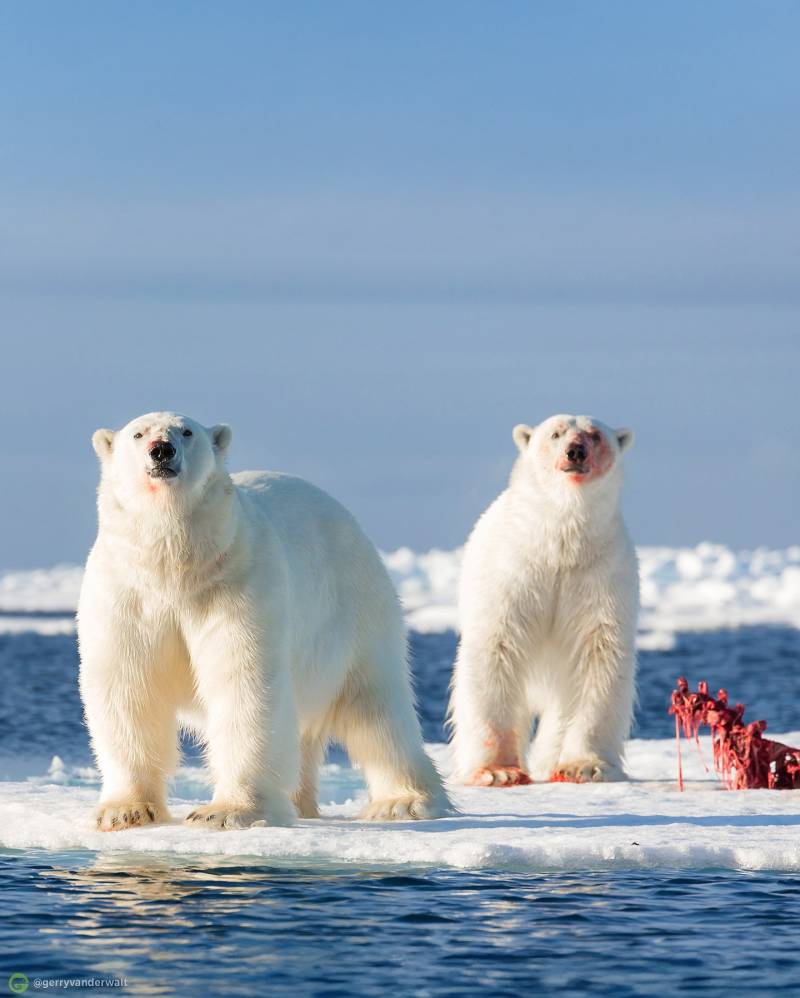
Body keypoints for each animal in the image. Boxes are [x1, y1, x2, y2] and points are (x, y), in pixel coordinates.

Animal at [78, 410, 454, 832]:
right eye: (138, 434)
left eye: (187, 432)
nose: (162, 450)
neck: (175, 567)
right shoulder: (127, 594)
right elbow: (127, 685)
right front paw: (123, 811)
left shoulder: (235, 584)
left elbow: (243, 681)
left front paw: (225, 812)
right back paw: (300, 802)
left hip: (355, 607)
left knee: (377, 708)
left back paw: (403, 801)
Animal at [450, 414, 636, 788]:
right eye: (555, 433)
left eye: (595, 435)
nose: (575, 451)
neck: (559, 542)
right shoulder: (512, 571)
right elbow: (495, 649)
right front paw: (497, 771)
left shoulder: (603, 577)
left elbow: (600, 658)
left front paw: (584, 766)